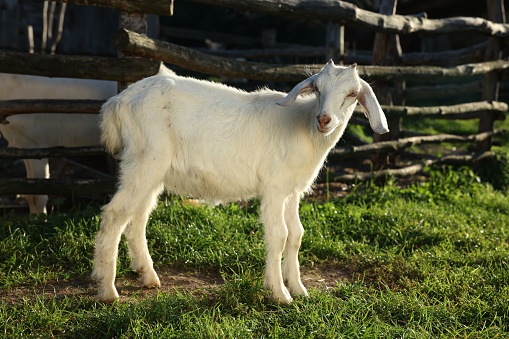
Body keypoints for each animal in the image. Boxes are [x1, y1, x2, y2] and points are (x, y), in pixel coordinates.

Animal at [91, 61, 386, 306]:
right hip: (144, 160)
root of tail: (118, 101)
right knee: (115, 215)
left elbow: (296, 235)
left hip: (152, 170)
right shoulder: (274, 188)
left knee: (138, 217)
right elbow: (279, 235)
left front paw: (299, 288)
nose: (324, 120)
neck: (302, 127)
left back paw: (148, 276)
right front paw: (279, 293)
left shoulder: (292, 191)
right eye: (318, 89)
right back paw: (107, 290)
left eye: (352, 94)